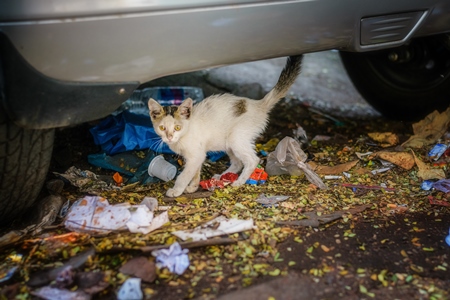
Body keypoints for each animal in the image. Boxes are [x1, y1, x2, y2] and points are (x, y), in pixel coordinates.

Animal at [148, 55, 302, 197]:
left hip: (236, 138)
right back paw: (222, 177)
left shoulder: (196, 154)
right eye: (162, 128)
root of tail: (258, 104)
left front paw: (177, 190)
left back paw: (239, 181)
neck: (183, 136)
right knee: (238, 163)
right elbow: (194, 172)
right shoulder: (196, 156)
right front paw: (193, 186)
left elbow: (184, 175)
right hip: (228, 142)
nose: (169, 137)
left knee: (252, 160)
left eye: (177, 127)